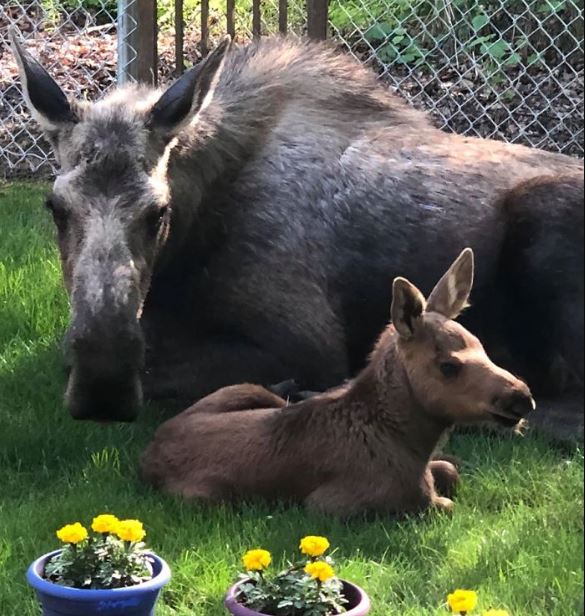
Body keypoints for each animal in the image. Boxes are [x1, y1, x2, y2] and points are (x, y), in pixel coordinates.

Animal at [143, 250, 532, 516]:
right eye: (448, 366)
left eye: (481, 346)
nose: (522, 397)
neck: (412, 442)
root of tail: (151, 449)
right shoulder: (331, 505)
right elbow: (444, 503)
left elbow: (451, 469)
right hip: (209, 496)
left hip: (248, 390)